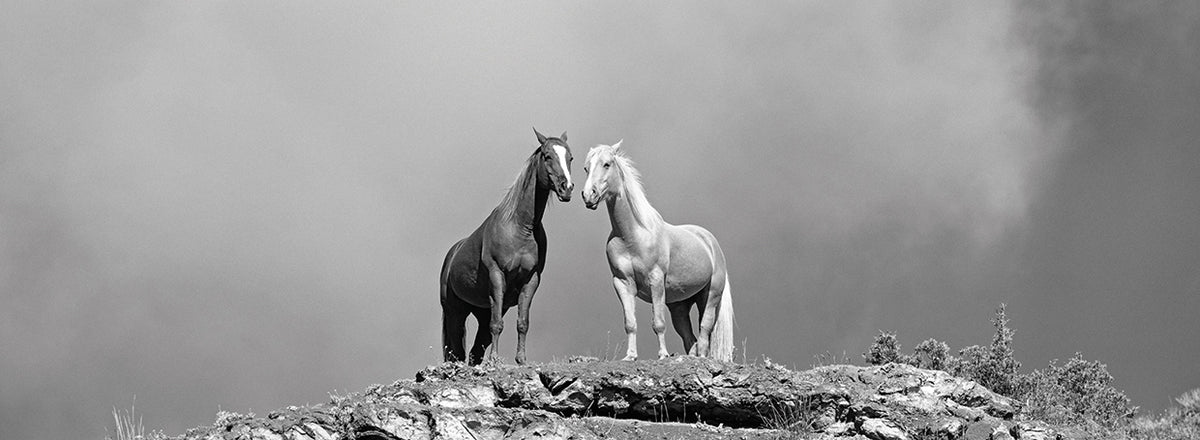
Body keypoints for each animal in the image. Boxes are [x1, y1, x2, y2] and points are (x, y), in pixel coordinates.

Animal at [439, 128, 574, 365]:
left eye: (570, 158)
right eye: (547, 156)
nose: (566, 188)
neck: (520, 228)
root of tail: (451, 255)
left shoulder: (531, 280)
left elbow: (522, 323)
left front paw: (521, 360)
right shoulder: (496, 275)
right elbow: (497, 326)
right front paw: (495, 360)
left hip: (483, 309)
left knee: (475, 349)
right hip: (455, 311)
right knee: (457, 350)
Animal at [580, 140, 734, 362]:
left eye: (607, 164)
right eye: (586, 168)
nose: (588, 195)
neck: (632, 235)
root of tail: (711, 243)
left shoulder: (655, 279)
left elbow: (658, 323)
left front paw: (662, 355)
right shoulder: (622, 283)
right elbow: (630, 323)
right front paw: (630, 356)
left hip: (710, 296)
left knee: (705, 333)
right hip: (679, 305)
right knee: (690, 339)